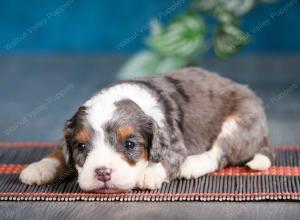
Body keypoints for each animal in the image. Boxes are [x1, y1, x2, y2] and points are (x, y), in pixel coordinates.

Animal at [19, 68, 274, 192]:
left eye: (130, 144)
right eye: (81, 146)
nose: (102, 173)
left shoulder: (175, 141)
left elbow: (168, 158)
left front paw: (148, 173)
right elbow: (59, 151)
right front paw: (39, 167)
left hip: (240, 122)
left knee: (220, 152)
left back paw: (192, 164)